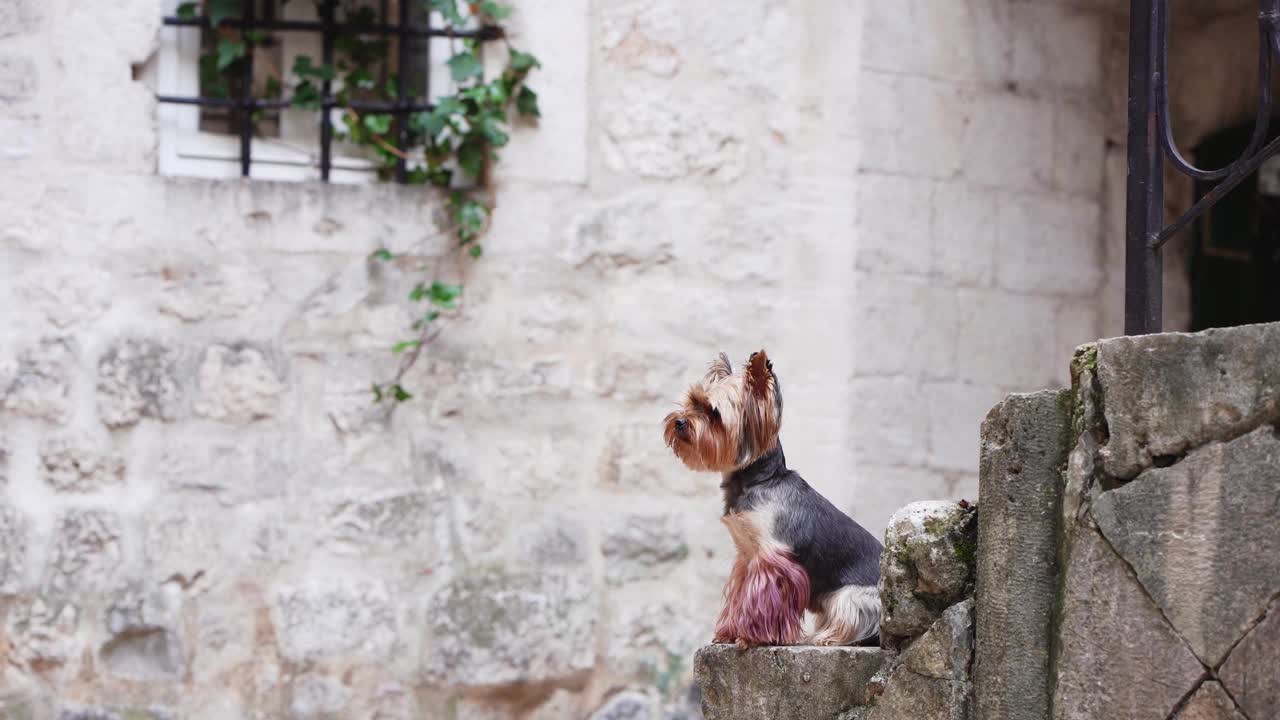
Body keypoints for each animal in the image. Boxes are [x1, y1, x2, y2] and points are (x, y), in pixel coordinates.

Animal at [665, 351, 885, 648]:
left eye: (714, 413)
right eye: (692, 401)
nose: (679, 421)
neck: (760, 480)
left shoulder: (773, 557)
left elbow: (765, 599)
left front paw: (753, 637)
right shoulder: (746, 557)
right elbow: (741, 597)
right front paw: (729, 633)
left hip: (852, 596)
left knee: (853, 623)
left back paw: (823, 637)